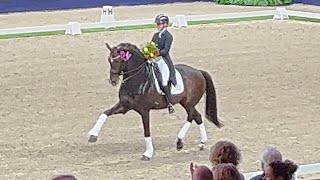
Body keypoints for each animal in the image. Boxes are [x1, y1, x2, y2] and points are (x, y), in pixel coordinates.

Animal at [87, 42, 222, 160]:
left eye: (119, 60)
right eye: (109, 60)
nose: (113, 81)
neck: (138, 79)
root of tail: (199, 71)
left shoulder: (144, 110)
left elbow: (146, 131)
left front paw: (148, 154)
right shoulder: (125, 106)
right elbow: (104, 113)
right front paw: (93, 135)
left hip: (189, 102)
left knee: (191, 116)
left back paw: (181, 142)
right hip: (185, 102)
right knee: (196, 116)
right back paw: (200, 143)